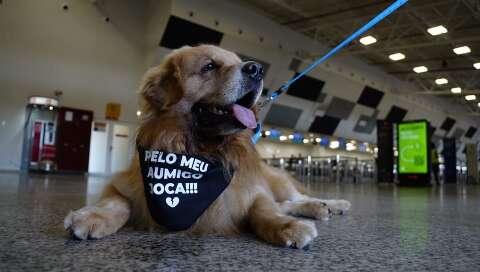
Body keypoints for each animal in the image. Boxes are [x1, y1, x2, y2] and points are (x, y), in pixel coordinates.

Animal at [63, 44, 350, 249]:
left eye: (238, 61)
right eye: (209, 66)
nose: (256, 69)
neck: (201, 152)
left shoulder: (252, 191)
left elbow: (265, 210)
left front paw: (287, 226)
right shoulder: (121, 182)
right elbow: (116, 203)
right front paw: (93, 216)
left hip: (277, 182)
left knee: (296, 198)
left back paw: (331, 204)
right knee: (290, 202)